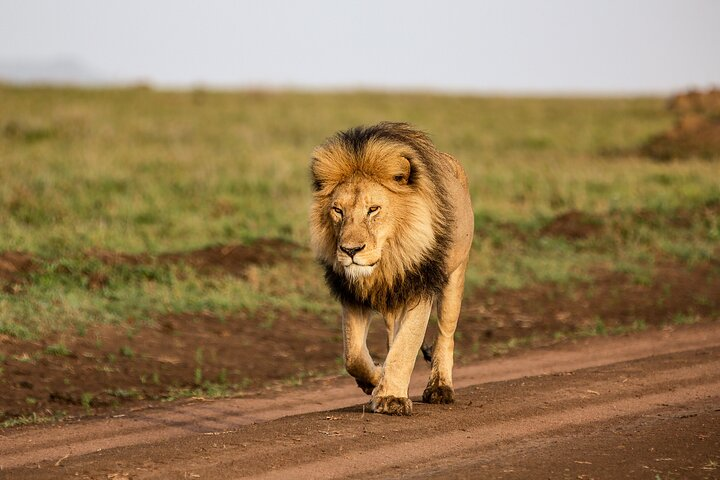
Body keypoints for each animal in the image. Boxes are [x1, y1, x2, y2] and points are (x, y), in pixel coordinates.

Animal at [310, 122, 474, 416]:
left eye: (373, 209)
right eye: (338, 210)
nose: (350, 251)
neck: (388, 259)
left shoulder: (420, 285)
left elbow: (406, 345)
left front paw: (391, 398)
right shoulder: (352, 293)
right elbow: (353, 354)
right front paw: (375, 380)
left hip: (455, 274)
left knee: (446, 334)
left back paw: (440, 388)